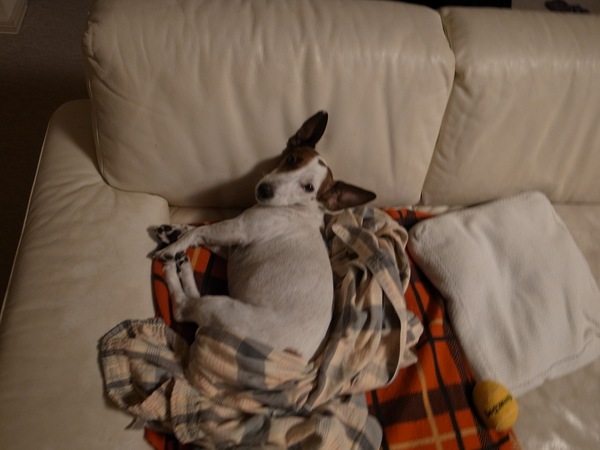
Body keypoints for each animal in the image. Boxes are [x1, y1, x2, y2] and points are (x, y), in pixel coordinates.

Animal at [153, 111, 376, 360]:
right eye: (291, 160)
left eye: (309, 187)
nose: (265, 190)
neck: (300, 207)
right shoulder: (234, 246)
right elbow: (197, 231)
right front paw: (173, 232)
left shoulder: (238, 230)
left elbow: (198, 231)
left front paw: (172, 248)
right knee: (193, 298)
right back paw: (183, 266)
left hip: (222, 308)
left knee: (183, 308)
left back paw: (172, 271)